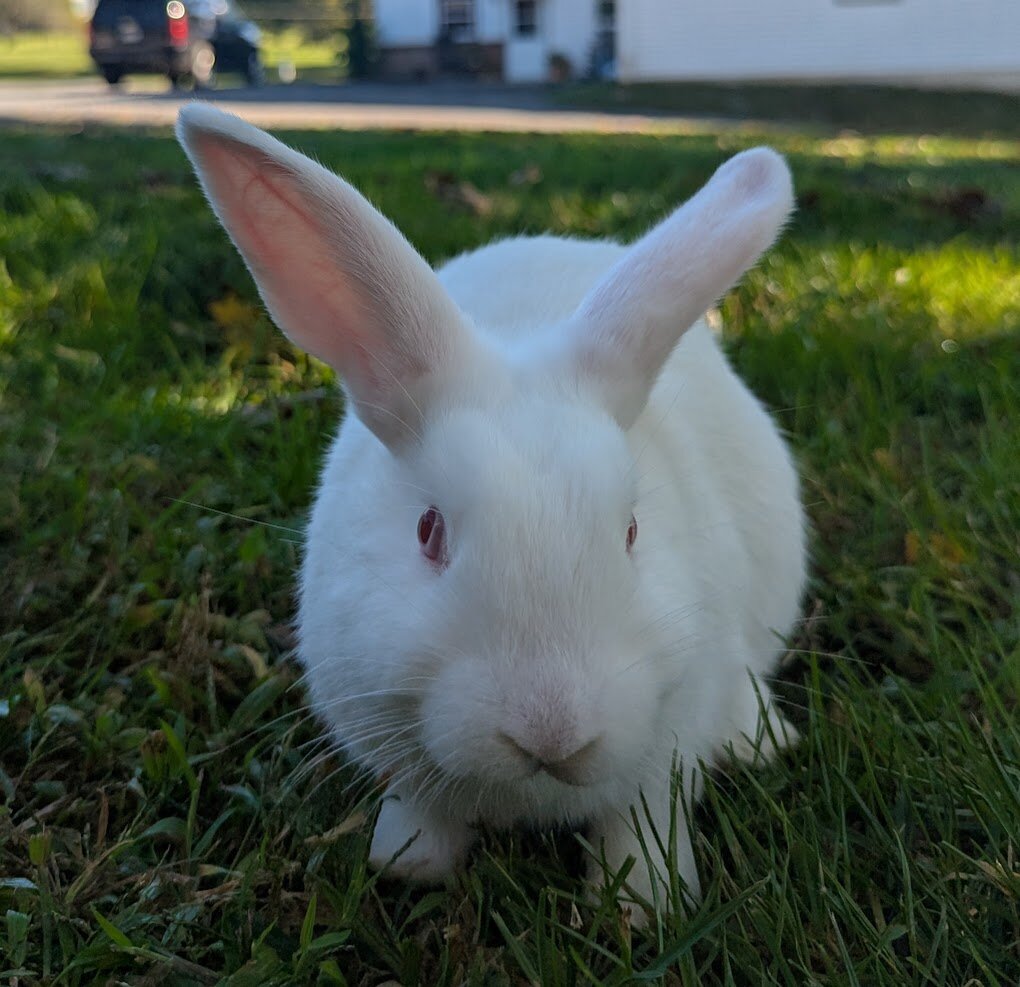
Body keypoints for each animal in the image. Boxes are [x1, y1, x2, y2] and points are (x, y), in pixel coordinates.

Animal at [176, 103, 807, 920]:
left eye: (632, 532)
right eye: (428, 530)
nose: (552, 731)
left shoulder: (666, 749)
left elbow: (639, 822)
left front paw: (644, 905)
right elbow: (422, 808)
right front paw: (409, 863)